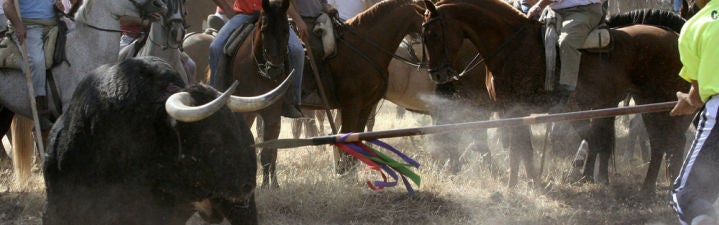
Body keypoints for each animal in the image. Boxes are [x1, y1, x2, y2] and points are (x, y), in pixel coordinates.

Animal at [424, 0, 696, 193]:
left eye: (434, 34)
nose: (438, 75)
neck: (511, 44)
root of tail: (673, 35)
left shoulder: (516, 107)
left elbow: (520, 148)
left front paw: (520, 185)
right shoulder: (511, 110)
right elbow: (521, 148)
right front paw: (525, 183)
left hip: (659, 100)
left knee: (670, 141)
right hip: (646, 102)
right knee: (660, 142)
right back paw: (648, 190)